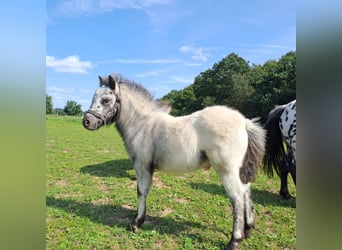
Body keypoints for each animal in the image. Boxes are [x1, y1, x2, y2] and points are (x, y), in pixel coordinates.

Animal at [83, 73, 268, 249]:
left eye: (106, 100)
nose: (87, 121)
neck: (142, 124)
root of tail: (244, 122)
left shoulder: (142, 165)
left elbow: (141, 191)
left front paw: (137, 223)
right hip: (239, 170)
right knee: (246, 191)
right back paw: (248, 229)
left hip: (227, 170)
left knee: (237, 198)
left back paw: (234, 240)